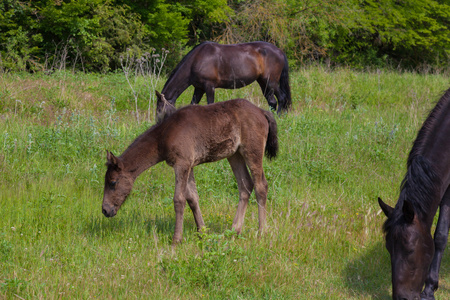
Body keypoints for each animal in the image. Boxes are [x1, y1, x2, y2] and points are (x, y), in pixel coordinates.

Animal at [102, 96, 278, 244]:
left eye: (113, 182)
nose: (105, 210)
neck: (164, 136)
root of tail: (262, 112)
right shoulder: (189, 165)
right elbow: (192, 197)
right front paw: (202, 232)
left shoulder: (182, 163)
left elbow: (179, 199)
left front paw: (176, 239)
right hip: (235, 154)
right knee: (245, 185)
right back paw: (234, 230)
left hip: (252, 150)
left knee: (261, 185)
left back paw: (262, 231)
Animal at [157, 41, 292, 118]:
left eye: (159, 109)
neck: (197, 60)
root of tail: (280, 51)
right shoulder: (199, 88)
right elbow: (193, 104)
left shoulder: (209, 86)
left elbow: (210, 104)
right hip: (263, 83)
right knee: (272, 101)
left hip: (271, 82)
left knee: (282, 98)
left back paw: (279, 117)